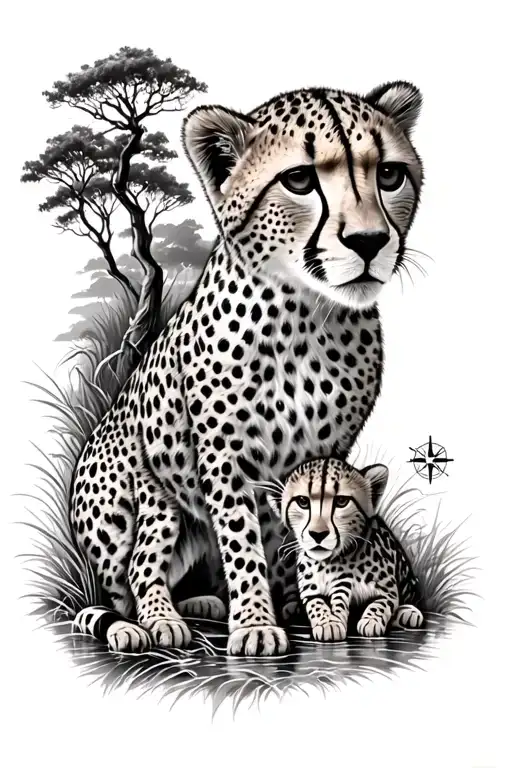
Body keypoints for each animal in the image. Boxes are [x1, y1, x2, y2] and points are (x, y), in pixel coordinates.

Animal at [266, 457, 424, 641]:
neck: (331, 562)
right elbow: (316, 604)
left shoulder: (388, 591)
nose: (318, 534)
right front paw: (328, 623)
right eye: (302, 502)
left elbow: (380, 603)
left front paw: (371, 621)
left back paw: (408, 612)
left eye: (341, 501)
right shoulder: (311, 592)